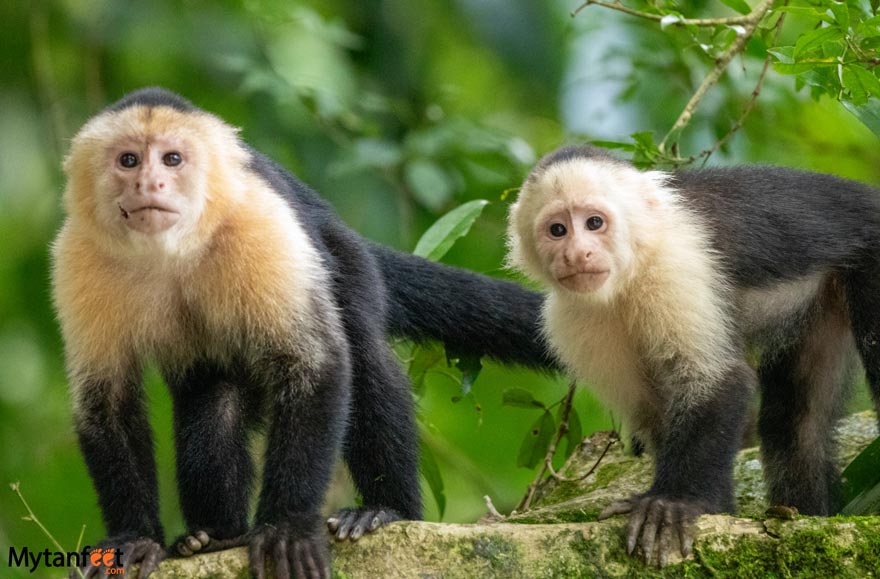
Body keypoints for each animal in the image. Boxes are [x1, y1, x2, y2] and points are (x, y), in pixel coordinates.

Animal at [51, 87, 556, 579]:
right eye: (129, 160)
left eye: (172, 159)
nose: (149, 184)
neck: (171, 249)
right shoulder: (78, 254)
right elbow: (107, 402)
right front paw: (134, 538)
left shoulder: (258, 222)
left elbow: (316, 365)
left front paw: (287, 527)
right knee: (213, 399)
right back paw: (215, 536)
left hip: (348, 262)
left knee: (362, 354)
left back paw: (386, 509)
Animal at [506, 144, 880, 566]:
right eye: (557, 230)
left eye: (594, 222)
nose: (577, 254)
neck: (631, 273)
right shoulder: (572, 321)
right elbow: (655, 412)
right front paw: (714, 509)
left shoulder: (675, 265)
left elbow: (717, 380)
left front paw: (673, 503)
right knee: (796, 421)